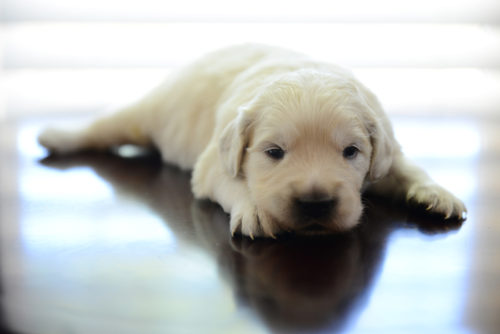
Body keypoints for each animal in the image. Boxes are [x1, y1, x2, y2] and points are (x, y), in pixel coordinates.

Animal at [37, 43, 466, 237]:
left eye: (351, 152)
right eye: (273, 152)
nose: (315, 203)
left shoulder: (386, 150)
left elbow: (407, 169)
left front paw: (436, 194)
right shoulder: (214, 161)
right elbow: (232, 181)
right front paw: (255, 210)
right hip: (146, 113)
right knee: (104, 126)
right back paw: (56, 135)